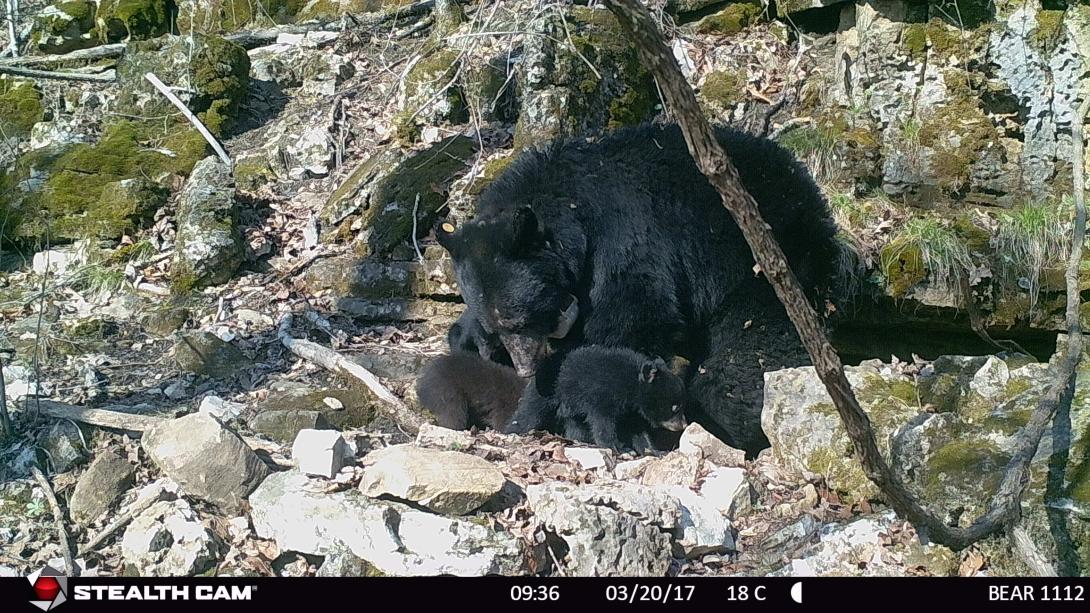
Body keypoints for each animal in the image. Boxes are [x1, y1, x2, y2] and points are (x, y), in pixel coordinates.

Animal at [436, 121, 841, 451]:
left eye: (519, 319)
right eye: (497, 327)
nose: (524, 368)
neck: (575, 221)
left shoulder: (625, 247)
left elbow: (627, 326)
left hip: (763, 263)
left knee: (751, 352)